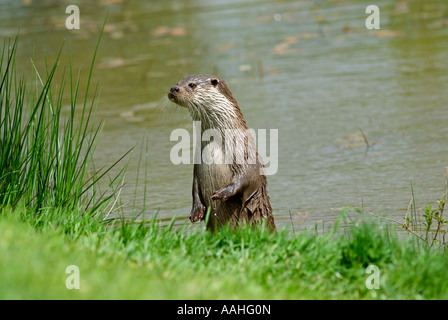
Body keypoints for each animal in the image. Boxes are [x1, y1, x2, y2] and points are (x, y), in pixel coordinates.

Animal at [166, 74, 274, 231]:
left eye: (192, 85)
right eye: (177, 83)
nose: (173, 89)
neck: (215, 144)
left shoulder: (246, 155)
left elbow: (249, 178)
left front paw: (223, 192)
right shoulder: (197, 165)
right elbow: (194, 187)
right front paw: (196, 211)